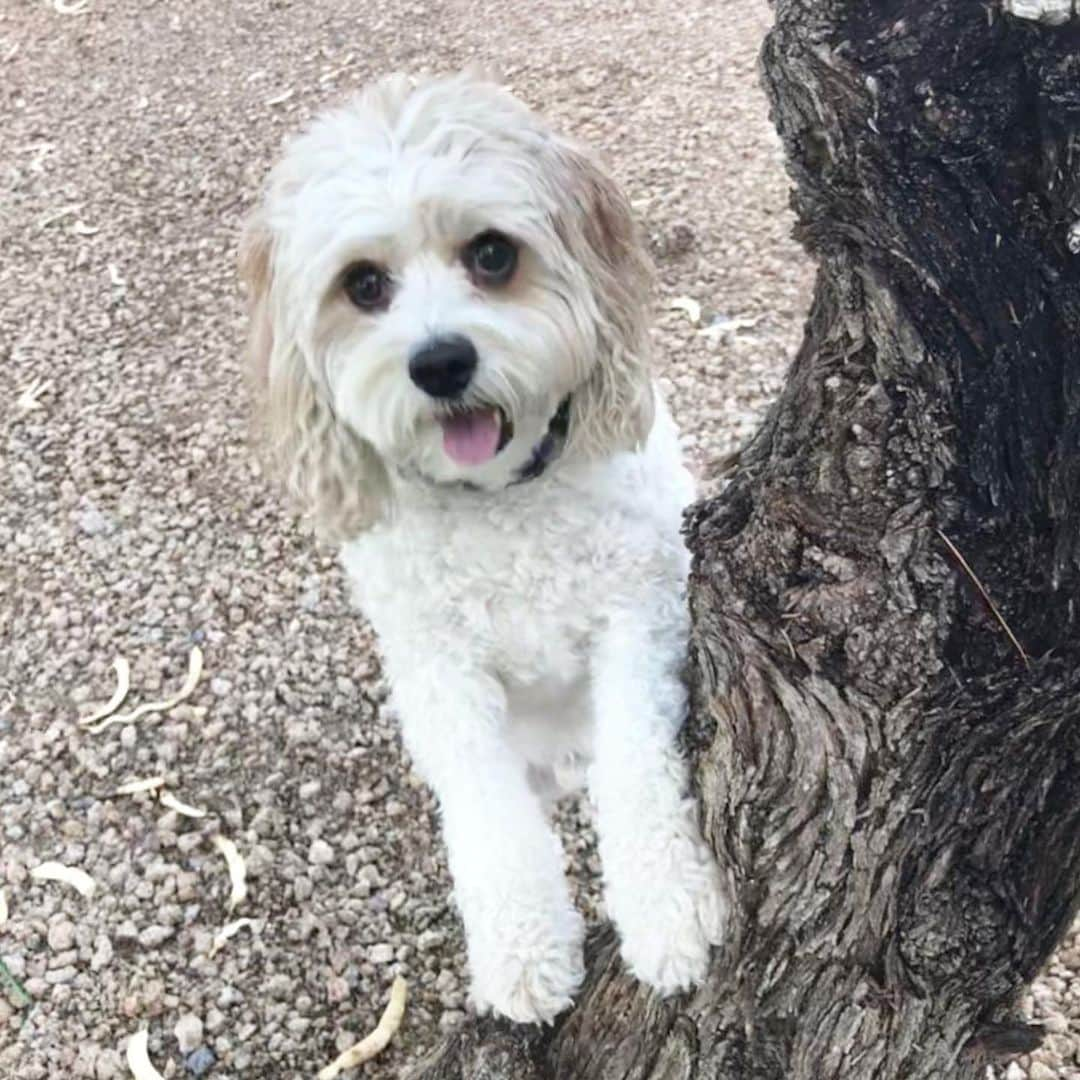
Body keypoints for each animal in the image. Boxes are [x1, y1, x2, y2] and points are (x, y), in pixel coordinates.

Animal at [240, 71, 721, 1023]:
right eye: (363, 284)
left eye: (492, 255)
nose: (439, 363)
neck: (503, 501)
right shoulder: (440, 672)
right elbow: (488, 814)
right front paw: (523, 949)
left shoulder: (639, 615)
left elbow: (636, 768)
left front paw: (667, 909)